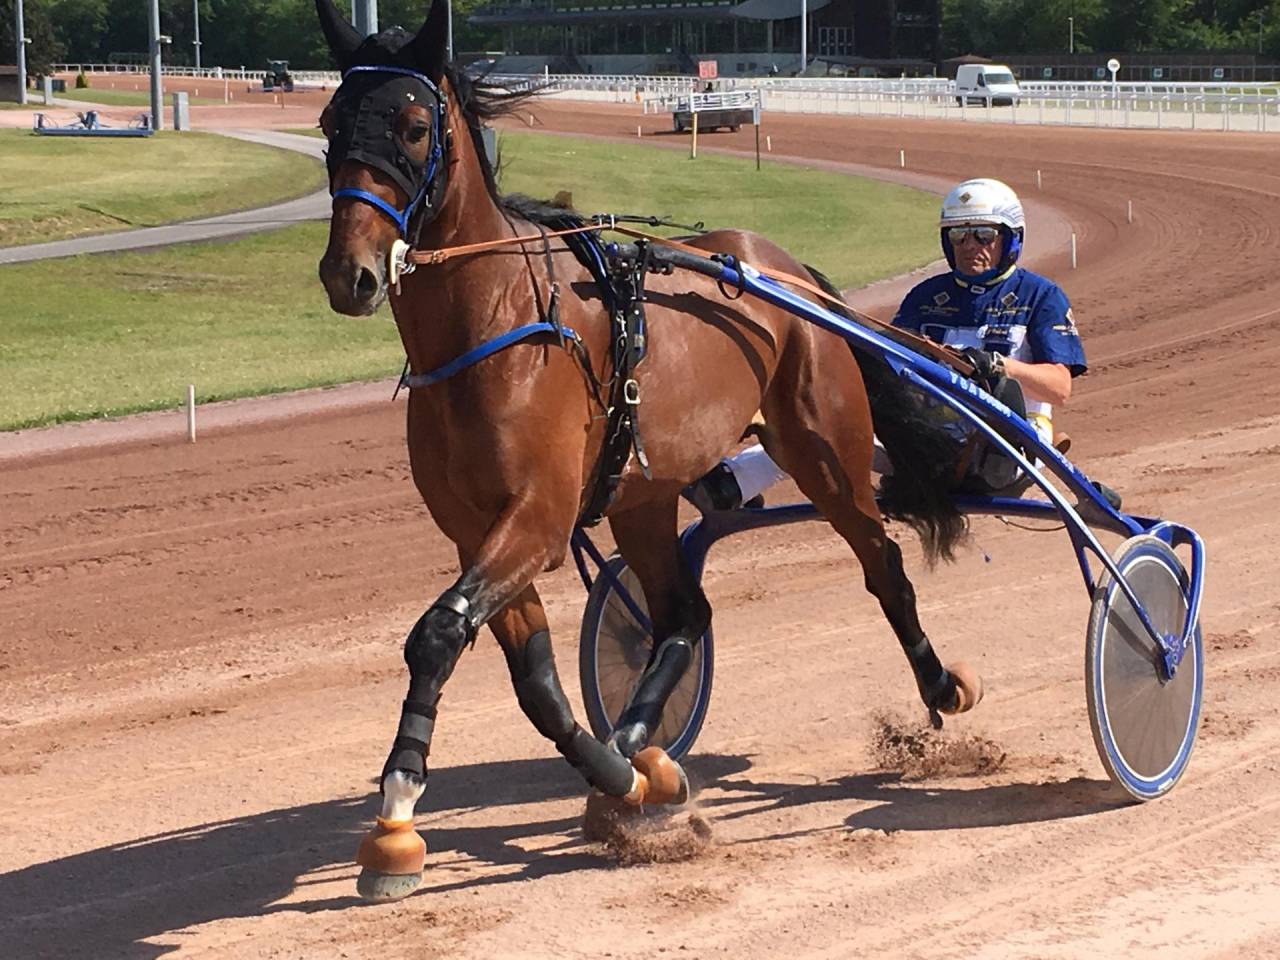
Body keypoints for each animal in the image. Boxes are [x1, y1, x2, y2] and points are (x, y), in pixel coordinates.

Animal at [313, 0, 981, 901]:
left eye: (415, 127)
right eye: (329, 123)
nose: (346, 273)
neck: (495, 323)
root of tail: (780, 268)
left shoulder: (536, 519)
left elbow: (437, 634)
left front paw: (395, 815)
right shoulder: (476, 529)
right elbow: (538, 685)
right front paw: (622, 778)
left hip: (827, 451)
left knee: (883, 566)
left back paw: (941, 684)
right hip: (644, 493)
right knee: (682, 614)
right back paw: (643, 753)